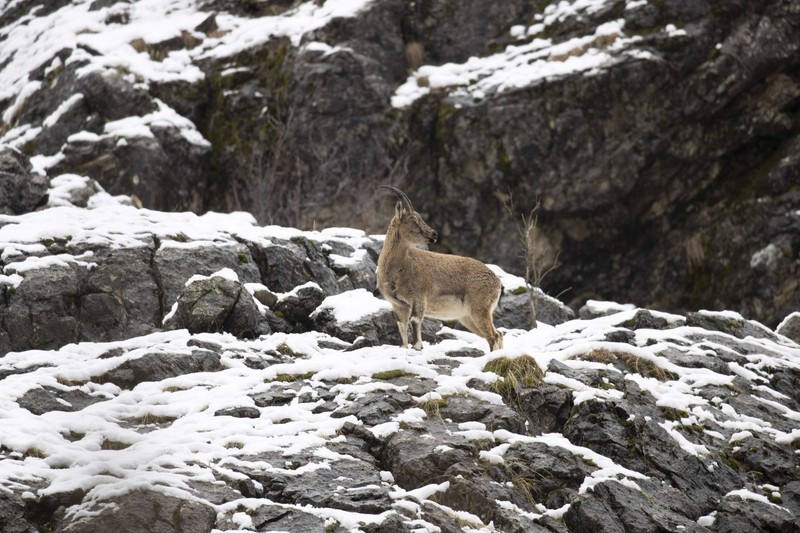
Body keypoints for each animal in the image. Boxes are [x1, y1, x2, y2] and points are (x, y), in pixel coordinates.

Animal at [376, 185, 504, 352]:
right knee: (498, 334)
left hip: (479, 309)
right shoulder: (398, 305)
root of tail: (496, 281)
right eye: (413, 221)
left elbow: (415, 320)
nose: (434, 235)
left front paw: (418, 347)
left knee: (493, 336)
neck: (399, 267)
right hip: (467, 317)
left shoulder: (419, 297)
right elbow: (402, 327)